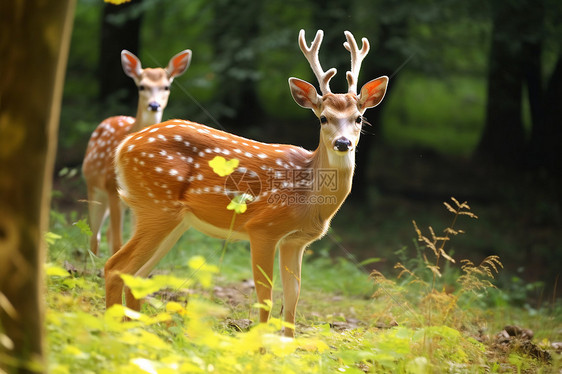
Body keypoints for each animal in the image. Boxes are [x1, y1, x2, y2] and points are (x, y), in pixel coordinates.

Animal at [81, 48, 190, 256]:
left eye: (166, 87)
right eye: (141, 86)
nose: (154, 105)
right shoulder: (111, 188)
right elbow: (118, 243)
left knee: (106, 233)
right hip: (94, 187)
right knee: (94, 234)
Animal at [104, 30, 384, 338]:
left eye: (359, 118)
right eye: (323, 118)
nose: (343, 143)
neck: (308, 196)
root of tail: (123, 147)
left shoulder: (296, 241)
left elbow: (293, 298)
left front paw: (288, 345)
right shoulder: (263, 228)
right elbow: (266, 296)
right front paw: (259, 344)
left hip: (173, 219)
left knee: (137, 275)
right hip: (156, 205)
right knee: (115, 266)